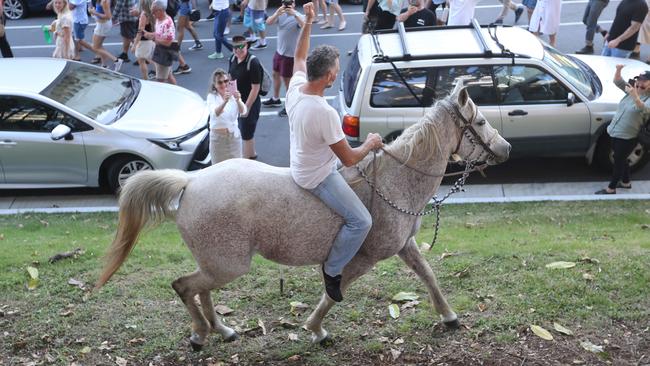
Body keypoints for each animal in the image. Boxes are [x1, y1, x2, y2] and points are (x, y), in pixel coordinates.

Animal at [95, 83, 512, 348]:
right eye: (479, 122)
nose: (506, 149)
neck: (395, 179)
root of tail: (190, 182)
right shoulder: (362, 257)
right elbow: (333, 291)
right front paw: (316, 330)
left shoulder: (404, 245)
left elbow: (428, 276)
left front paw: (449, 316)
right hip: (228, 264)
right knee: (185, 287)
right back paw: (200, 334)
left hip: (217, 262)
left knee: (201, 289)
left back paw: (222, 330)